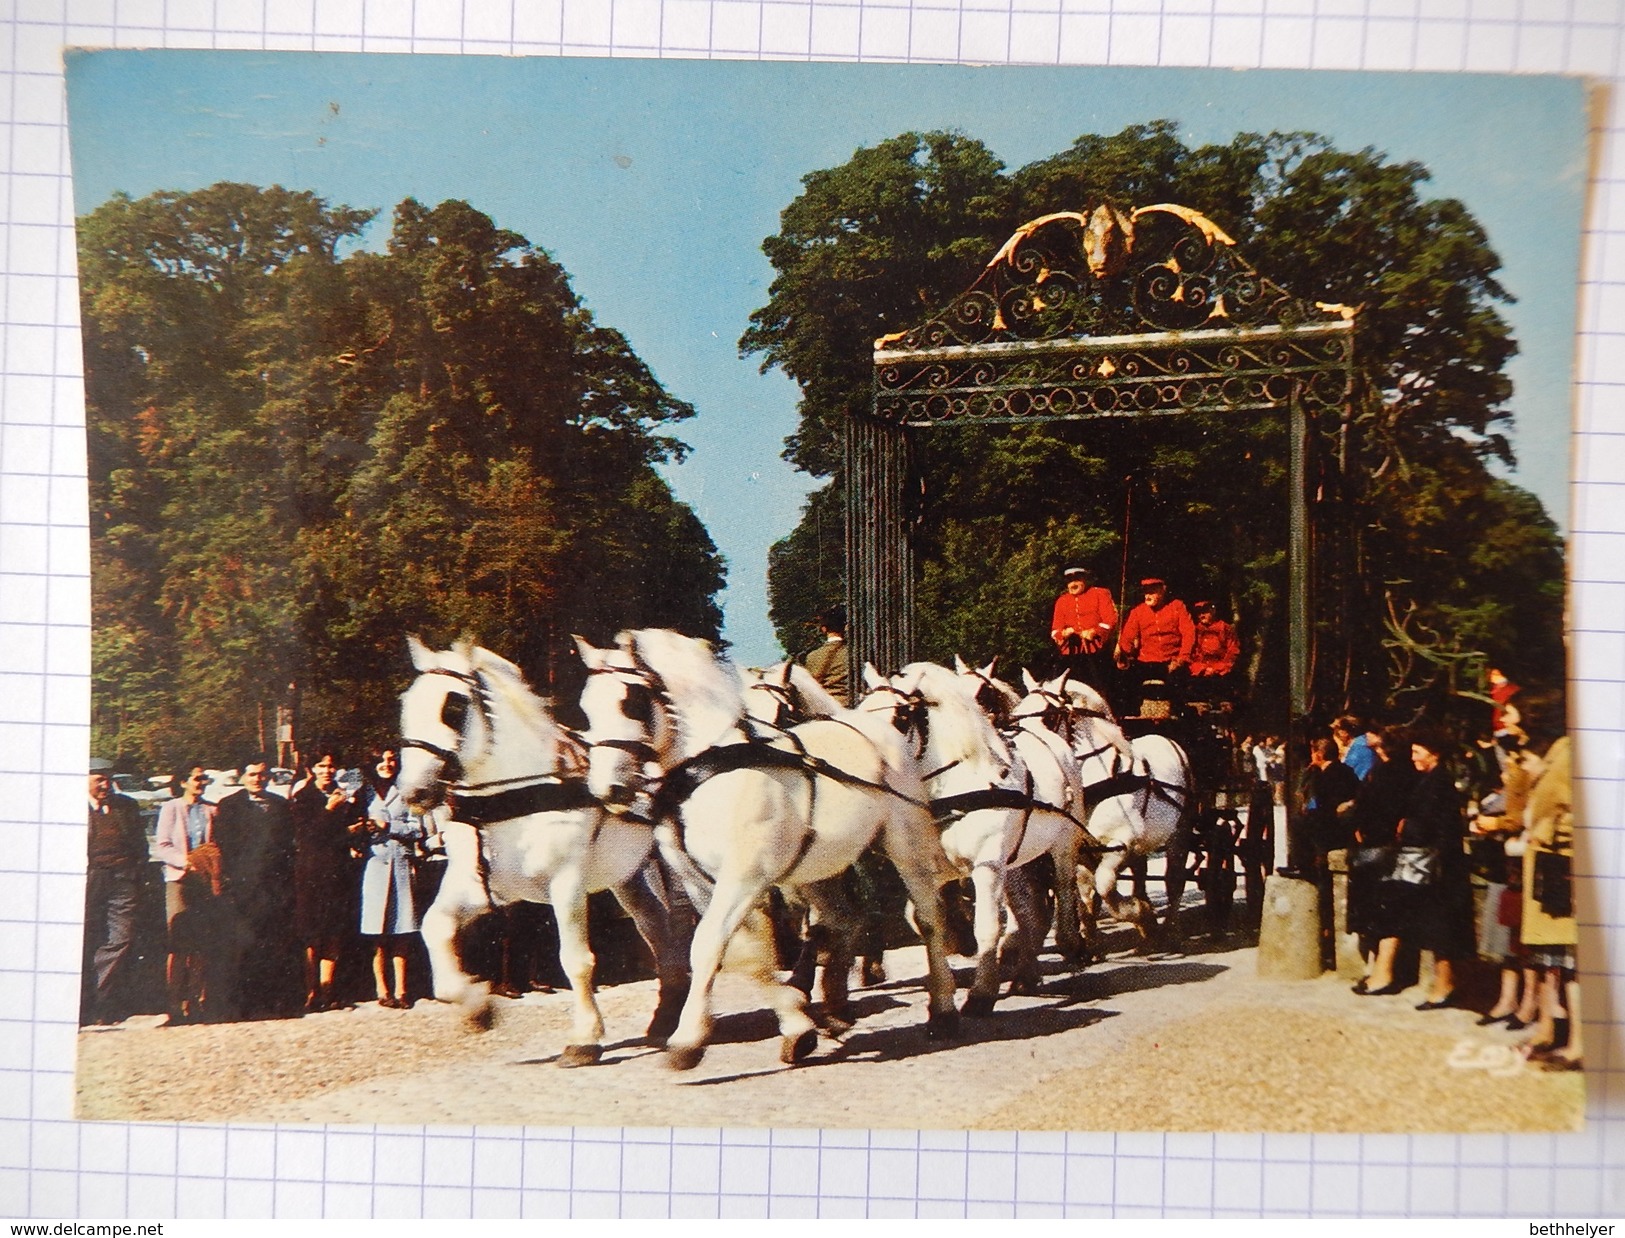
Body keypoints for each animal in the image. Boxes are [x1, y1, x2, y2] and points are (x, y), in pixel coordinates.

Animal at [403, 636, 695, 1059]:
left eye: (452, 707)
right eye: (406, 703)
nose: (413, 791)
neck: (514, 799)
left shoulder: (567, 884)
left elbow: (575, 960)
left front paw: (584, 1038)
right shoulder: (481, 887)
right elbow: (434, 928)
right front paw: (476, 1007)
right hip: (629, 877)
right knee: (656, 929)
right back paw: (665, 1017)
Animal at [575, 630, 962, 1065]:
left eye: (631, 700)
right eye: (585, 706)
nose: (608, 790)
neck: (709, 768)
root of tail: (879, 728)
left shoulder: (744, 878)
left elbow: (709, 945)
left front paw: (686, 1041)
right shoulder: (701, 883)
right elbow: (745, 955)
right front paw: (797, 1025)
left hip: (905, 846)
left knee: (928, 918)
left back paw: (943, 1011)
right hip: (815, 870)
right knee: (843, 919)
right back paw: (834, 1010)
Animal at [1014, 669, 1196, 942]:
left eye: (1048, 716)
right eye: (1017, 712)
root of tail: (1167, 740)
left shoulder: (1119, 845)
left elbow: (1105, 887)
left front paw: (1141, 914)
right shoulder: (1080, 851)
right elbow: (1086, 891)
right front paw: (1090, 934)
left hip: (1179, 833)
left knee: (1174, 879)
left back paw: (1170, 928)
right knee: (1140, 871)